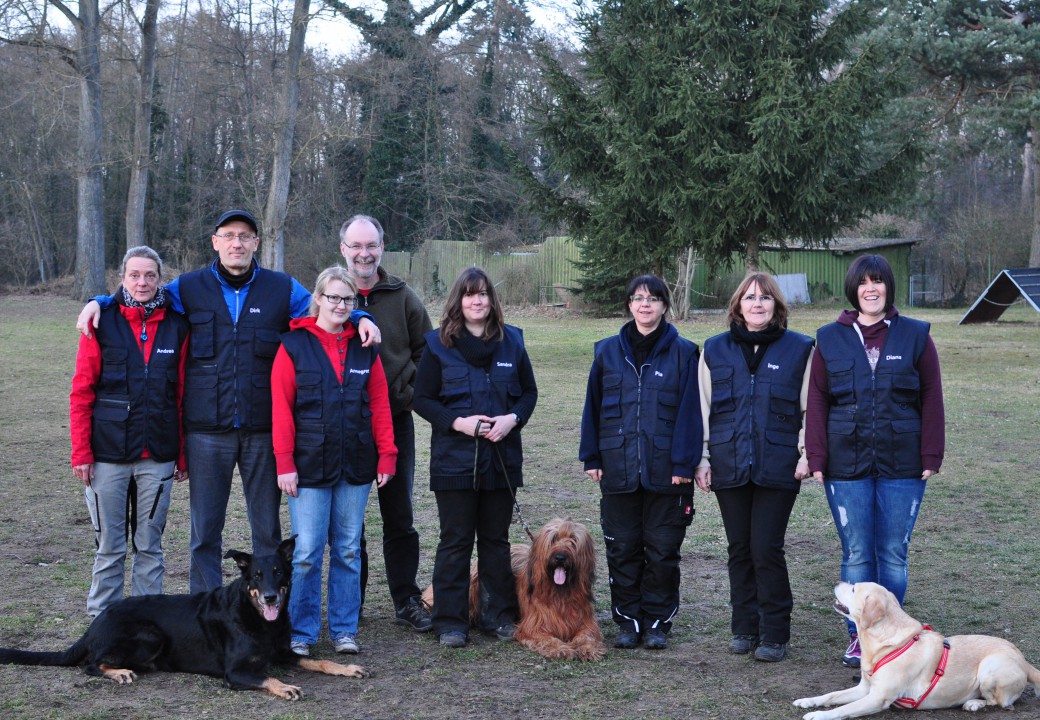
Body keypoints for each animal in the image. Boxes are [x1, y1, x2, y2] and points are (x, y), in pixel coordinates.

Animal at [0, 536, 370, 699]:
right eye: (256, 576)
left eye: (279, 572)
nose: (270, 597)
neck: (258, 618)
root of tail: (97, 622)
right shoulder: (235, 672)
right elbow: (267, 678)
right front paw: (286, 686)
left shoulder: (282, 652)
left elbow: (320, 661)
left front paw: (348, 668)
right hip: (149, 635)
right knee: (91, 664)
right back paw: (119, 672)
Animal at [420, 518, 603, 661]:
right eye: (553, 539)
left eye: (573, 540)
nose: (560, 557)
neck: (560, 593)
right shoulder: (534, 626)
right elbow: (547, 638)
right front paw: (561, 649)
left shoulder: (585, 623)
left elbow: (587, 635)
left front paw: (587, 649)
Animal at [794, 582, 1040, 715]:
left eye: (853, 588)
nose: (837, 582)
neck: (885, 642)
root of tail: (1025, 661)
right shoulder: (865, 689)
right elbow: (831, 695)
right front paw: (808, 701)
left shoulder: (878, 698)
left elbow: (841, 709)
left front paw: (817, 716)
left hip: (990, 668)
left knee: (1000, 702)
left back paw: (973, 703)